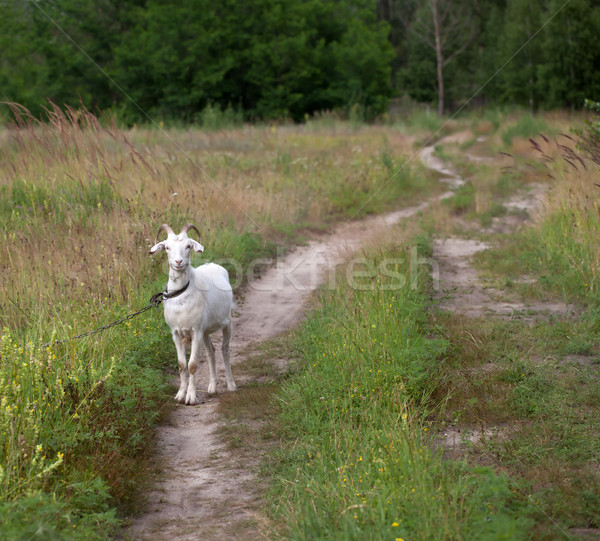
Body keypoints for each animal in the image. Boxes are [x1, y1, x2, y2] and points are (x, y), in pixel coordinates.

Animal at [148, 221, 237, 402]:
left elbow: (192, 365)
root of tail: (214, 265)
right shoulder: (176, 333)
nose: (178, 261)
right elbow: (182, 365)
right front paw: (180, 394)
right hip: (206, 331)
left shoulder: (196, 331)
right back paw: (212, 386)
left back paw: (231, 385)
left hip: (227, 323)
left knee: (225, 350)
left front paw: (190, 397)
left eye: (188, 246)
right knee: (211, 352)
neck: (182, 295)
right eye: (167, 247)